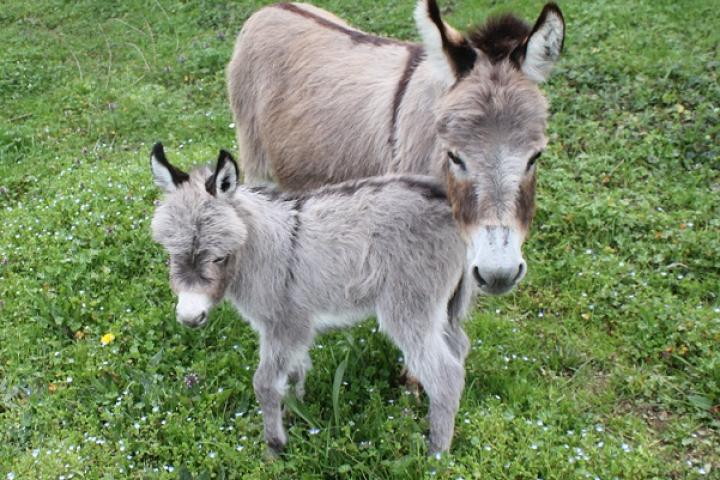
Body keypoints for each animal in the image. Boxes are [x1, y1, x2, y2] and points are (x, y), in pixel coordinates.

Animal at [150, 143, 476, 454]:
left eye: (219, 257)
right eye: (171, 253)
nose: (190, 317)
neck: (257, 246)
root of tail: (448, 205)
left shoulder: (284, 324)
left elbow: (265, 384)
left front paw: (274, 447)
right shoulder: (294, 324)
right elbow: (296, 370)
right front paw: (295, 410)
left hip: (409, 307)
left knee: (446, 376)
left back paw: (436, 455)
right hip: (444, 307)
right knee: (459, 348)